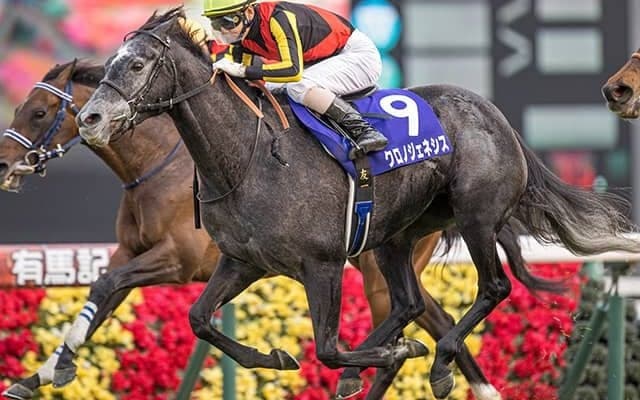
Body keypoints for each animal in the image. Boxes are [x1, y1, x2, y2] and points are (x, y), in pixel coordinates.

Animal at [0, 60, 500, 400]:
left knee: (414, 320)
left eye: (40, 112)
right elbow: (100, 299)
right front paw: (38, 375)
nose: (5, 164)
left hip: (375, 269)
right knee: (434, 317)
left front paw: (48, 372)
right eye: (21, 107)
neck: (158, 168)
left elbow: (106, 287)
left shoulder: (177, 260)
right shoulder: (129, 251)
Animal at [75, 8, 640, 399]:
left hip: (475, 215)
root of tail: (495, 115)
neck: (246, 159)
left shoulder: (321, 264)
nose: (90, 119)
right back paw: (388, 354)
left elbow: (326, 347)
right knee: (411, 303)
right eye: (107, 68)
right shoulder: (242, 261)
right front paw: (278, 357)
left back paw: (436, 362)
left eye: (139, 63)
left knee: (492, 287)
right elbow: (199, 319)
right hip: (393, 237)